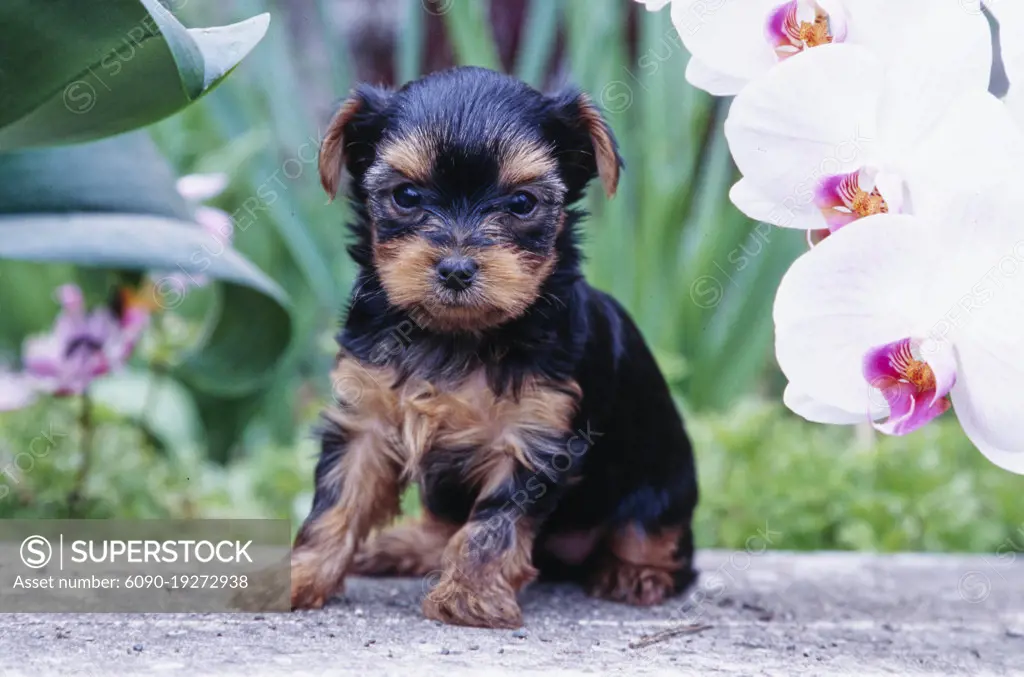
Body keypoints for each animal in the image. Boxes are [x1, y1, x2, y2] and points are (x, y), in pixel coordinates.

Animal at [292, 66, 700, 626]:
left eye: (522, 204)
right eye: (407, 197)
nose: (456, 268)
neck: (453, 336)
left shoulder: (534, 436)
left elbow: (493, 522)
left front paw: (470, 595)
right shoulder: (364, 419)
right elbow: (336, 502)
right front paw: (297, 576)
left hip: (664, 483)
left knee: (654, 537)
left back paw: (635, 573)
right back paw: (406, 547)